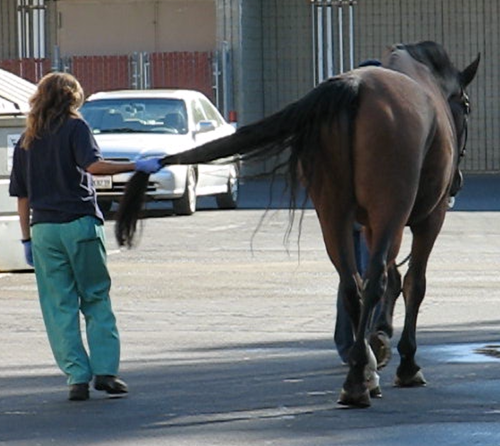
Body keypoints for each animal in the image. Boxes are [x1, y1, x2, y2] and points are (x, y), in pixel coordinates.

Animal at [115, 41, 478, 408]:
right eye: (466, 105)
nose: (458, 181)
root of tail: (355, 88)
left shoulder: (371, 225)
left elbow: (393, 279)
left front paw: (378, 340)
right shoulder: (425, 219)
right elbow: (413, 284)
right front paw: (406, 362)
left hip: (334, 214)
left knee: (352, 283)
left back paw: (359, 374)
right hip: (388, 209)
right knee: (373, 280)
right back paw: (362, 377)